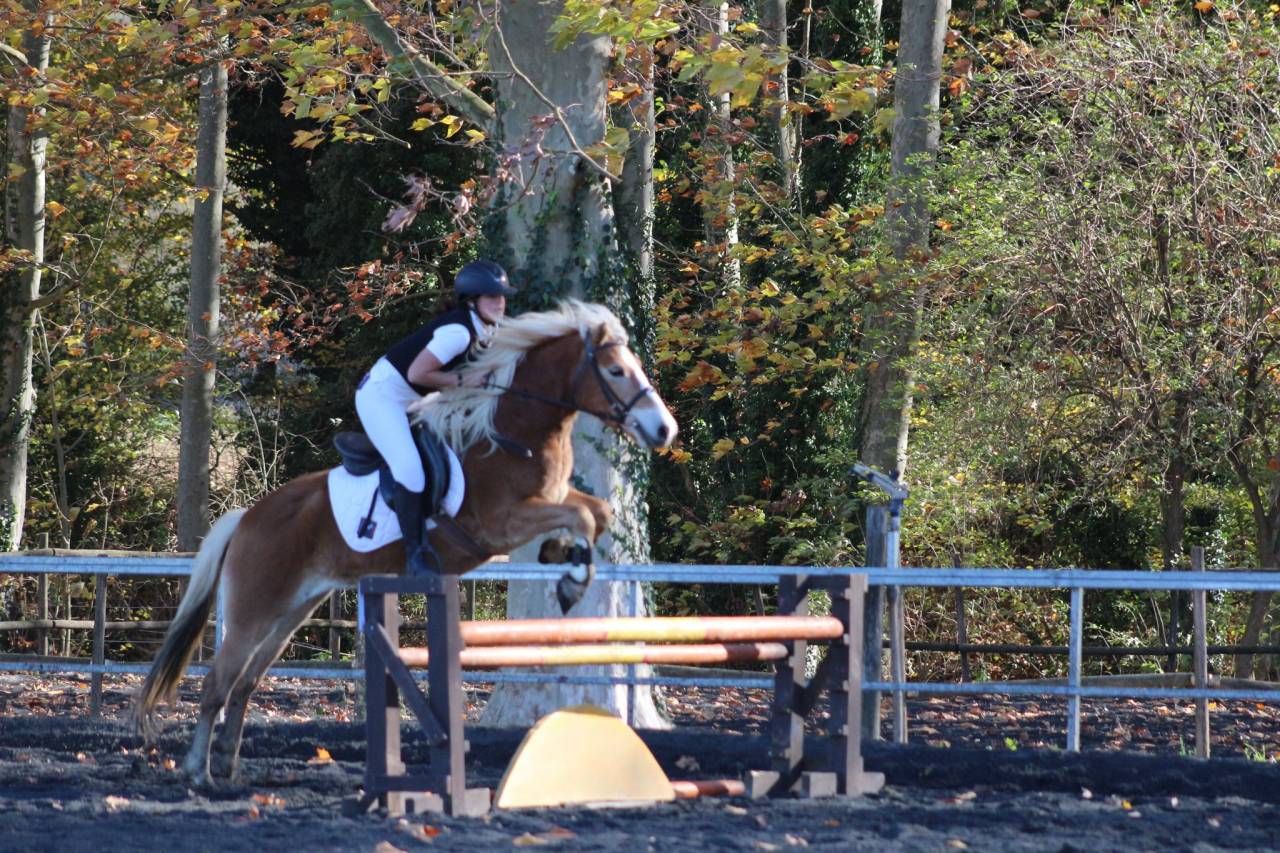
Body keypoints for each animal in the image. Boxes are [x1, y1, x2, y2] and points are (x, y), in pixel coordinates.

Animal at [135, 300, 678, 786]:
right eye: (616, 370)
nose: (663, 429)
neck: (513, 432)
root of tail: (248, 517)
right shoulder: (503, 522)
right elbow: (583, 515)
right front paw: (571, 580)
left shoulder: (549, 499)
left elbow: (597, 513)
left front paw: (563, 558)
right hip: (255, 607)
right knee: (218, 683)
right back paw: (198, 772)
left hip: (293, 609)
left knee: (245, 683)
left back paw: (228, 767)